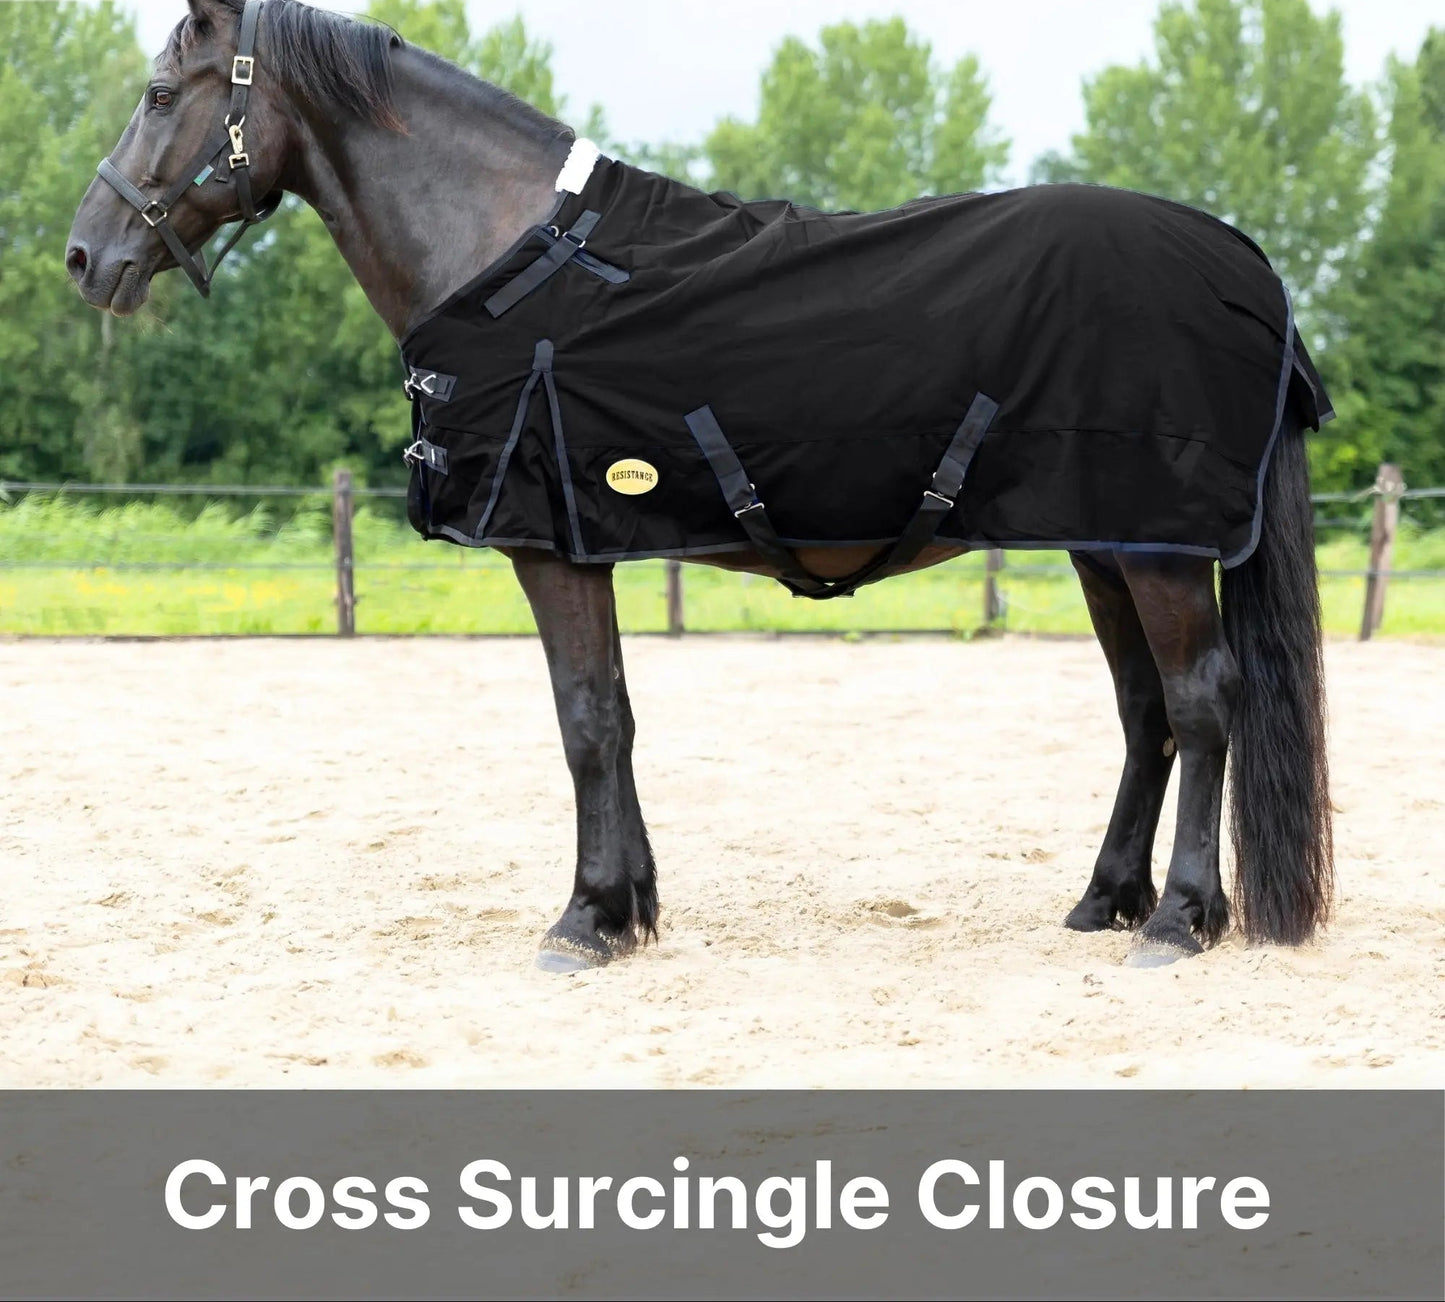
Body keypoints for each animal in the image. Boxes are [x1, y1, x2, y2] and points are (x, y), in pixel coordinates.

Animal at [66, 0, 1333, 972]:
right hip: (1102, 543)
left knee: (1202, 700)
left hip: (1156, 549)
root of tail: (1240, 257)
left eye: (161, 92)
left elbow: (582, 721)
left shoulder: (547, 548)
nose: (86, 258)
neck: (511, 256)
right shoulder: (585, 542)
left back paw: (1178, 920)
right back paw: (1104, 900)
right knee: (1143, 713)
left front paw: (583, 921)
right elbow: (616, 717)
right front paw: (630, 909)